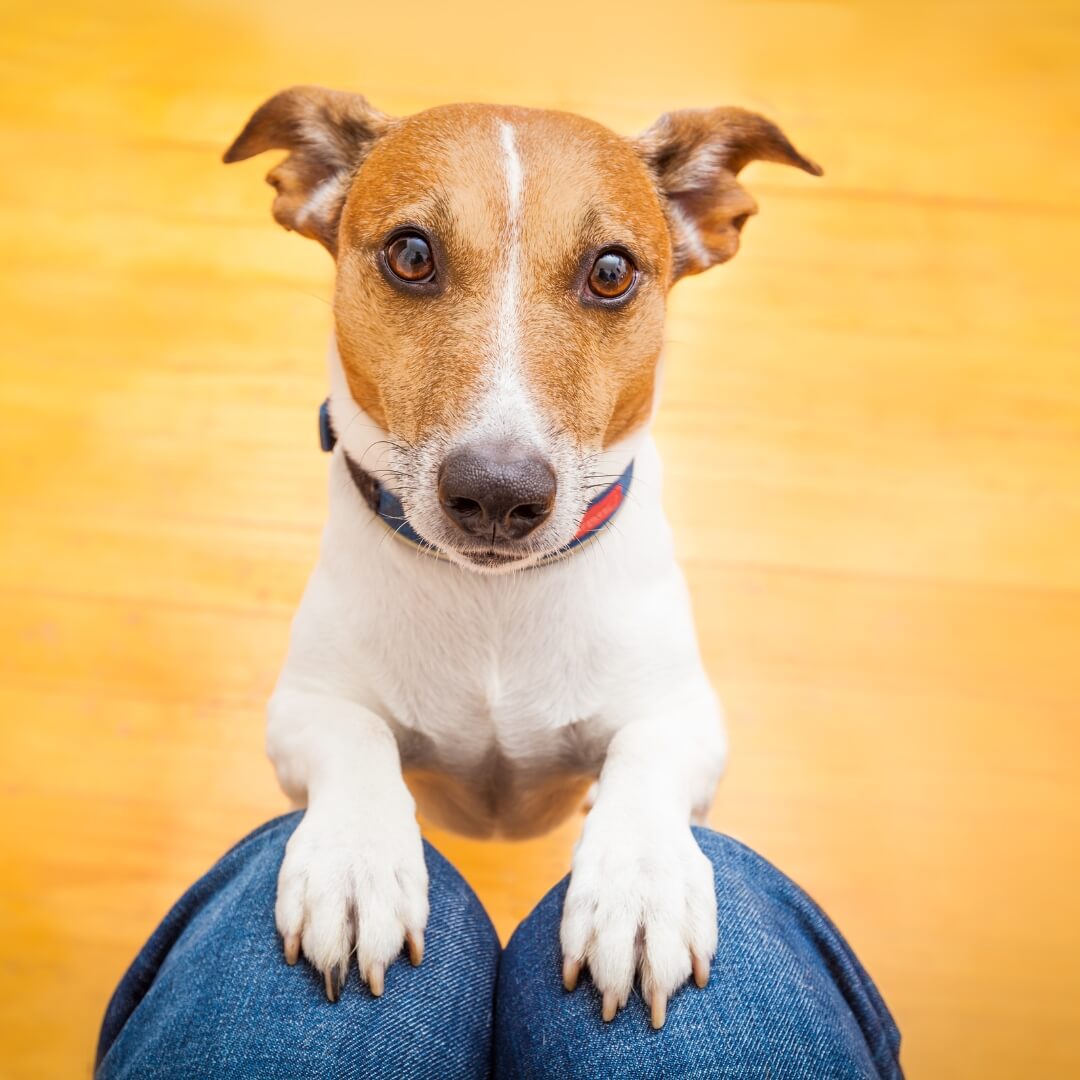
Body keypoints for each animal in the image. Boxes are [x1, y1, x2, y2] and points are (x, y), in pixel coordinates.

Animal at [225, 86, 816, 1028]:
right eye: (411, 254)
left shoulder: (684, 716)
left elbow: (644, 765)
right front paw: (355, 863)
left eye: (610, 271)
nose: (498, 493)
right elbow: (355, 739)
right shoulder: (305, 709)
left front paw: (641, 889)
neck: (492, 601)